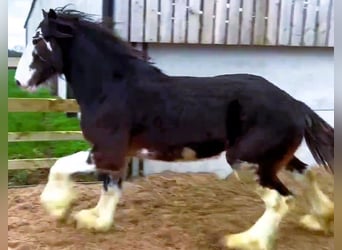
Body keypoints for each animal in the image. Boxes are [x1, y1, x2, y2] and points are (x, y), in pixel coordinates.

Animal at [15, 6, 334, 249]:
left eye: (38, 40)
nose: (19, 81)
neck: (111, 88)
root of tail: (296, 104)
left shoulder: (107, 151)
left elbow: (60, 166)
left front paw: (58, 208)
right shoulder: (119, 155)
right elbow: (110, 189)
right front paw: (96, 221)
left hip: (246, 161)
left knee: (281, 200)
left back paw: (245, 240)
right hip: (272, 159)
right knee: (307, 174)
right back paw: (320, 220)